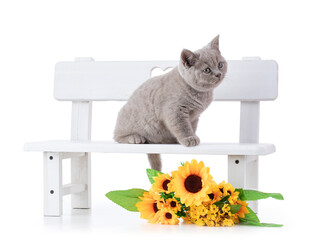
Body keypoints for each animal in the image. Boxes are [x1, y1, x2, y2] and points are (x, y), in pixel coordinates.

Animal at [113, 35, 228, 171]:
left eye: (220, 65)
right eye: (207, 70)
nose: (218, 74)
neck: (201, 95)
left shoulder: (195, 116)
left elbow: (191, 126)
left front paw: (185, 138)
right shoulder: (175, 111)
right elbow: (182, 126)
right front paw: (189, 138)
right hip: (125, 121)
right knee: (117, 136)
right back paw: (135, 138)